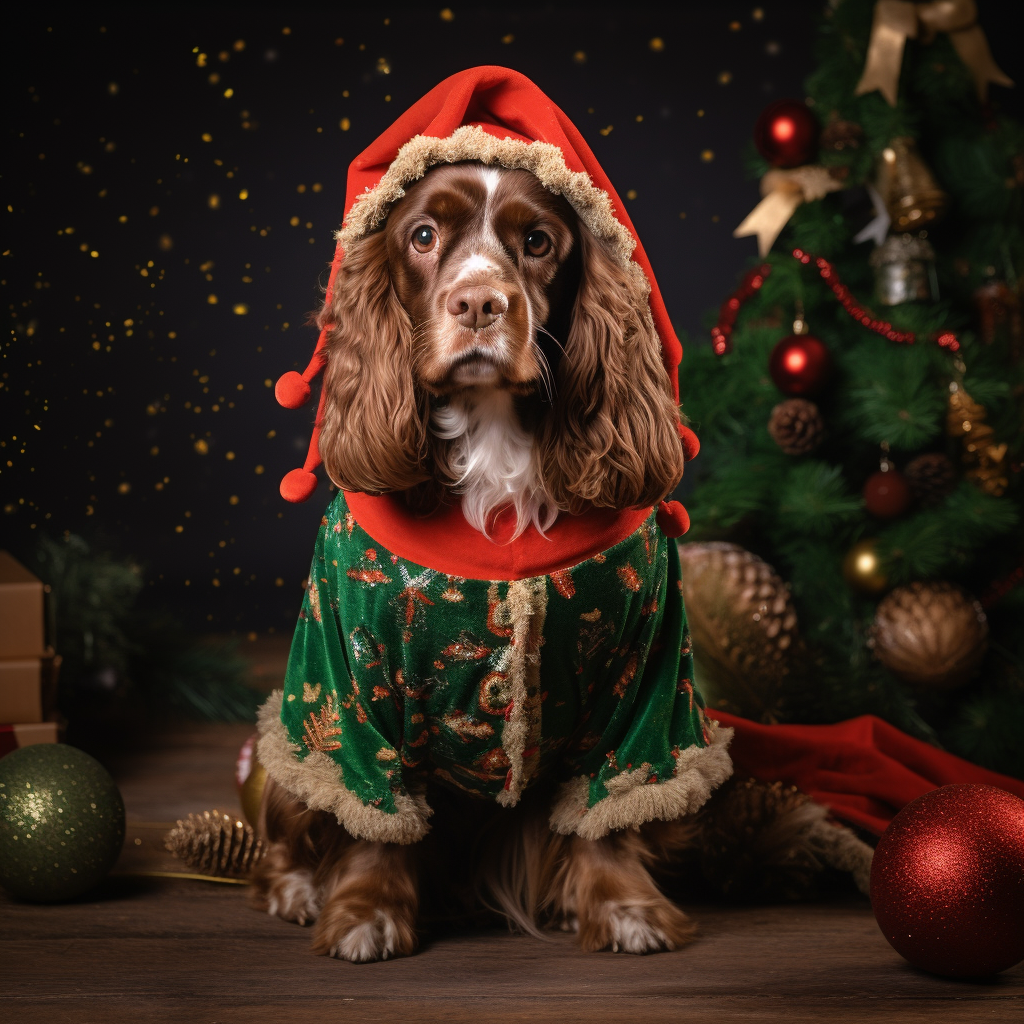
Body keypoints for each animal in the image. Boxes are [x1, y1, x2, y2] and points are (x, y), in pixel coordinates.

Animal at [252, 157, 724, 958]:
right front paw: (365, 913)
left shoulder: (644, 680)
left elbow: (608, 808)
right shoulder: (348, 675)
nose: (479, 303)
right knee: (291, 823)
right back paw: (297, 891)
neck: (494, 443)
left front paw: (626, 908)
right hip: (287, 748)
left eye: (537, 241)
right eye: (422, 235)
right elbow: (376, 810)